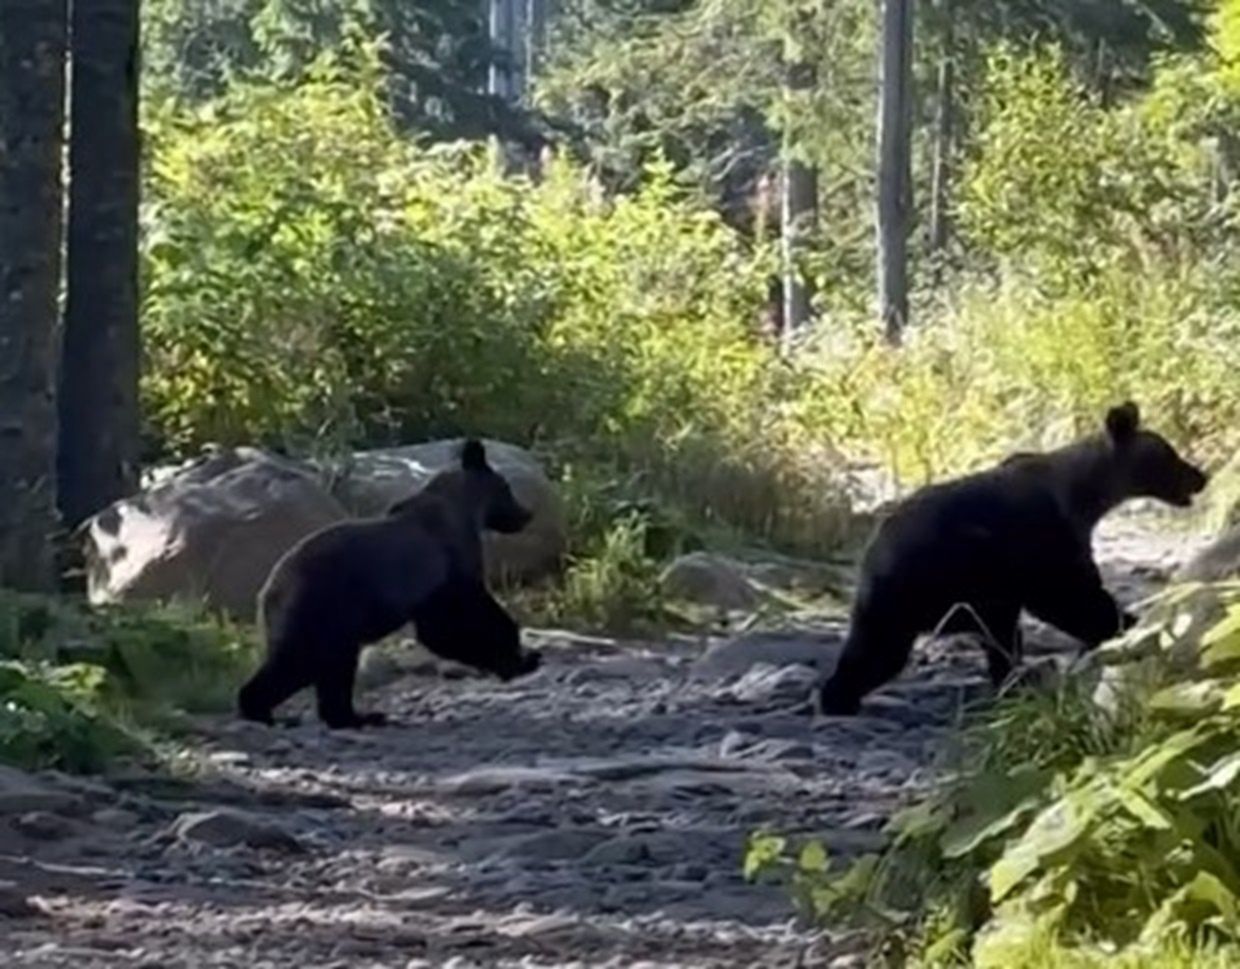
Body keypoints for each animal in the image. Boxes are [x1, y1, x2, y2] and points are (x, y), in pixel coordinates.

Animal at [236, 439, 538, 724]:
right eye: (507, 487)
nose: (526, 514)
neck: (464, 508)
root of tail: (268, 589)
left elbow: (441, 629)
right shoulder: (447, 565)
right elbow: (457, 619)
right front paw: (516, 659)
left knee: (334, 670)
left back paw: (356, 717)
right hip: (321, 607)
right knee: (300, 661)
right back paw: (266, 711)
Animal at [818, 399, 1205, 709]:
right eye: (1169, 454)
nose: (1200, 476)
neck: (1086, 497)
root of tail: (875, 549)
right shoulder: (1044, 536)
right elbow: (1070, 597)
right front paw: (1126, 623)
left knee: (875, 647)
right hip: (933, 577)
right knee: (885, 648)